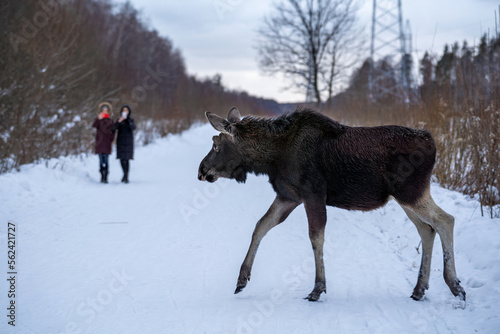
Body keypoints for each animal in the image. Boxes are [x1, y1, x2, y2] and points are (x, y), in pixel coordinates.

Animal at [197, 107, 466, 302]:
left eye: (216, 144)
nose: (201, 170)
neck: (270, 158)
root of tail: (432, 142)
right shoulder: (289, 196)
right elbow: (261, 226)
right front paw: (241, 280)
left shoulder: (313, 194)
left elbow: (316, 237)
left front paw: (317, 289)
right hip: (405, 198)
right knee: (426, 229)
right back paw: (420, 289)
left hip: (410, 192)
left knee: (445, 220)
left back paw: (455, 285)